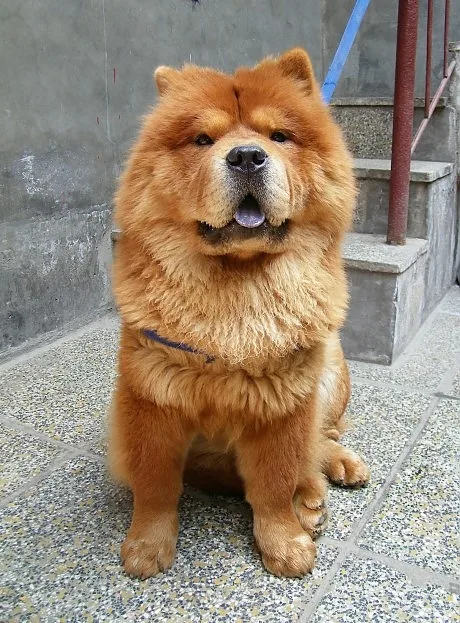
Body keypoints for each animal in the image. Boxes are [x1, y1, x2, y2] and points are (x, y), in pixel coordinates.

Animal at [110, 47, 370, 579]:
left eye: (279, 136)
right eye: (202, 140)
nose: (247, 155)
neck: (237, 291)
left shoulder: (284, 402)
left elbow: (274, 482)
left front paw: (285, 545)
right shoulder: (152, 397)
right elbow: (155, 485)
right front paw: (146, 547)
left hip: (331, 370)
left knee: (321, 435)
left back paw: (331, 477)